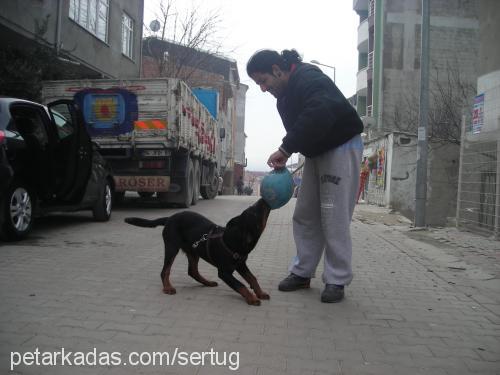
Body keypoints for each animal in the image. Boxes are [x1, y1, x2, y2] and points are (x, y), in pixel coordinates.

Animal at [125, 200, 274, 306]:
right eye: (254, 214)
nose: (263, 200)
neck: (234, 239)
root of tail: (169, 218)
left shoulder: (241, 265)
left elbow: (252, 278)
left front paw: (260, 293)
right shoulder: (224, 272)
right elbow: (240, 285)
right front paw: (252, 298)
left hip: (193, 251)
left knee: (192, 271)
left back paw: (207, 282)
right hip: (172, 247)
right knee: (165, 271)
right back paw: (168, 288)